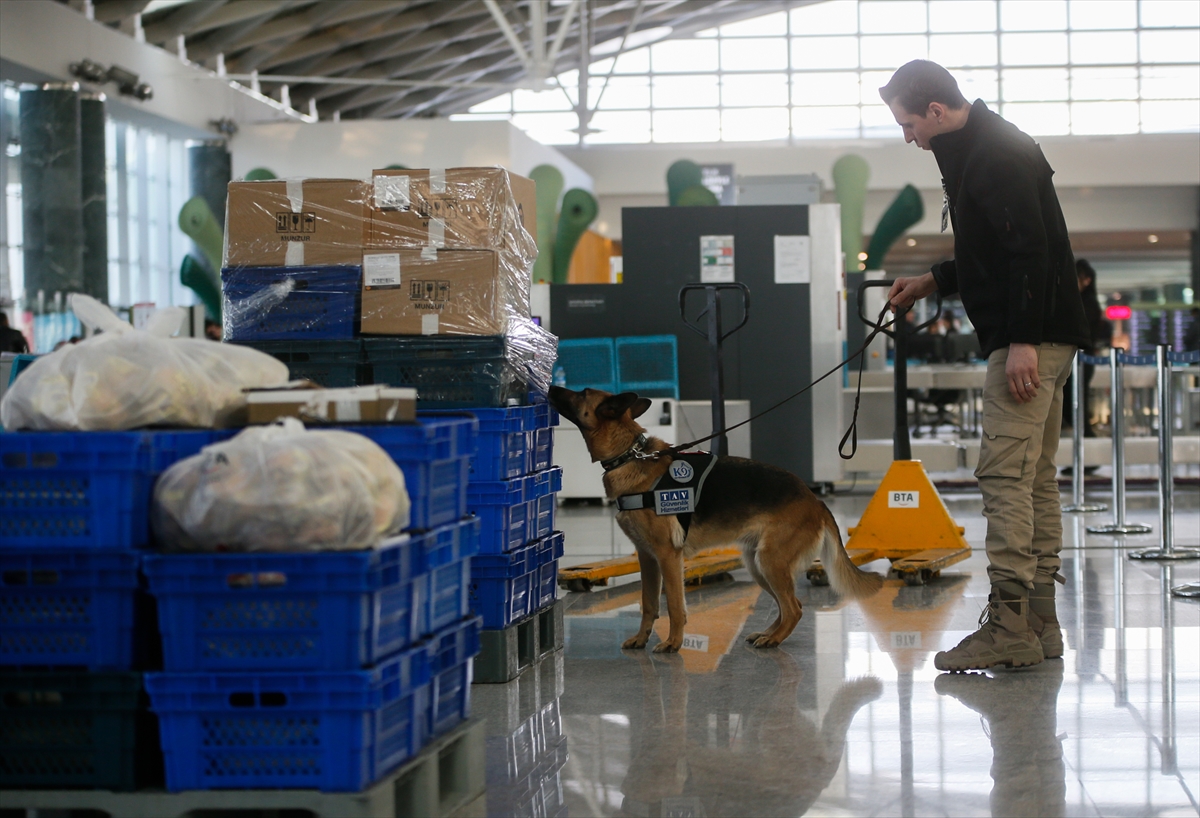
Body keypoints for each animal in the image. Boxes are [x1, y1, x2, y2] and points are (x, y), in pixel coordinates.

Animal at [549, 386, 883, 652]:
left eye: (582, 392)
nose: (551, 386)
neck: (630, 456)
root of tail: (814, 499)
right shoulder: (647, 557)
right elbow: (648, 603)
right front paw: (641, 639)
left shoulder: (668, 556)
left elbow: (673, 605)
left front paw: (673, 643)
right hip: (759, 565)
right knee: (790, 606)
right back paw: (768, 633)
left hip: (770, 562)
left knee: (794, 609)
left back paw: (774, 640)